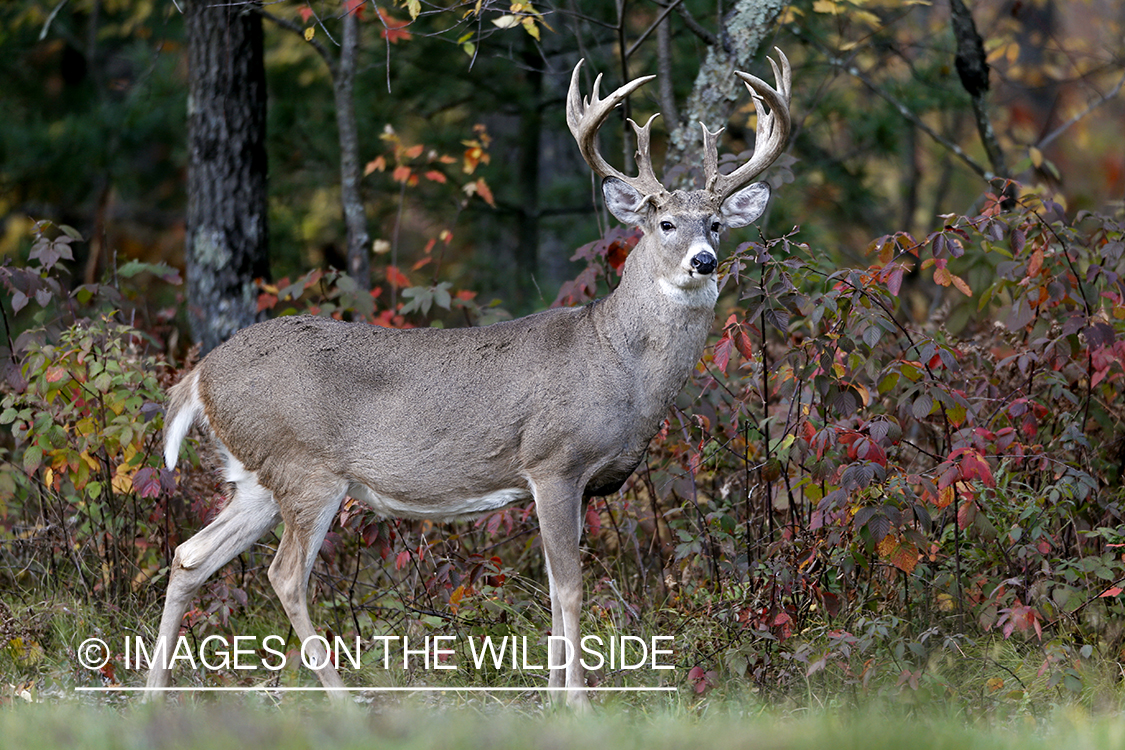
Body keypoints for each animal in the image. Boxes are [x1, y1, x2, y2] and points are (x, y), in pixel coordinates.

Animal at [151, 49, 792, 706]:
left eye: (715, 224)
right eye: (664, 223)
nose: (704, 261)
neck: (619, 364)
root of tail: (200, 374)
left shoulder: (569, 482)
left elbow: (555, 594)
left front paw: (554, 697)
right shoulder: (552, 461)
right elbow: (570, 589)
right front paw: (578, 703)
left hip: (257, 476)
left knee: (189, 555)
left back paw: (153, 693)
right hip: (305, 467)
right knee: (283, 576)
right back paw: (347, 701)